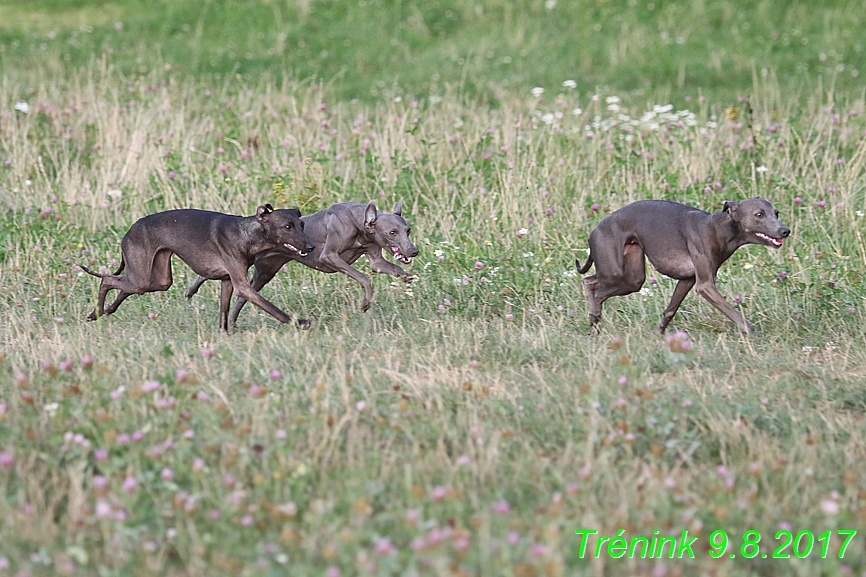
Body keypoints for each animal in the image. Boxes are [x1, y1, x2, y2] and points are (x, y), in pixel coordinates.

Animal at [81, 204, 314, 330]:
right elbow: (272, 308)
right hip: (141, 277)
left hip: (156, 279)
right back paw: (97, 311)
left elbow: (224, 311)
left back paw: (102, 312)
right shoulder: (242, 285)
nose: (311, 247)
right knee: (107, 280)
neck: (247, 233)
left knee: (122, 287)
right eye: (287, 227)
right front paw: (299, 322)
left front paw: (224, 334)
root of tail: (130, 230)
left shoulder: (227, 281)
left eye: (302, 224)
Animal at [184, 199, 420, 324]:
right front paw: (365, 303)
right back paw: (190, 291)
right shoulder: (329, 256)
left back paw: (232, 321)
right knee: (207, 274)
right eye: (392, 232)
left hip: (264, 272)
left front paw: (406, 276)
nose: (414, 251)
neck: (358, 223)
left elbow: (386, 267)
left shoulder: (376, 259)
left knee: (242, 297)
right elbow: (363, 277)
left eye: (407, 230)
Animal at [576, 198, 788, 332]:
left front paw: (660, 334)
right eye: (759, 214)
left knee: (596, 287)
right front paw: (752, 332)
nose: (786, 231)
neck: (720, 229)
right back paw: (594, 315)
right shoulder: (705, 285)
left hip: (632, 279)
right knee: (591, 284)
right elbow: (733, 313)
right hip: (613, 270)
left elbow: (670, 310)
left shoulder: (687, 280)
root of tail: (597, 227)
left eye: (776, 213)